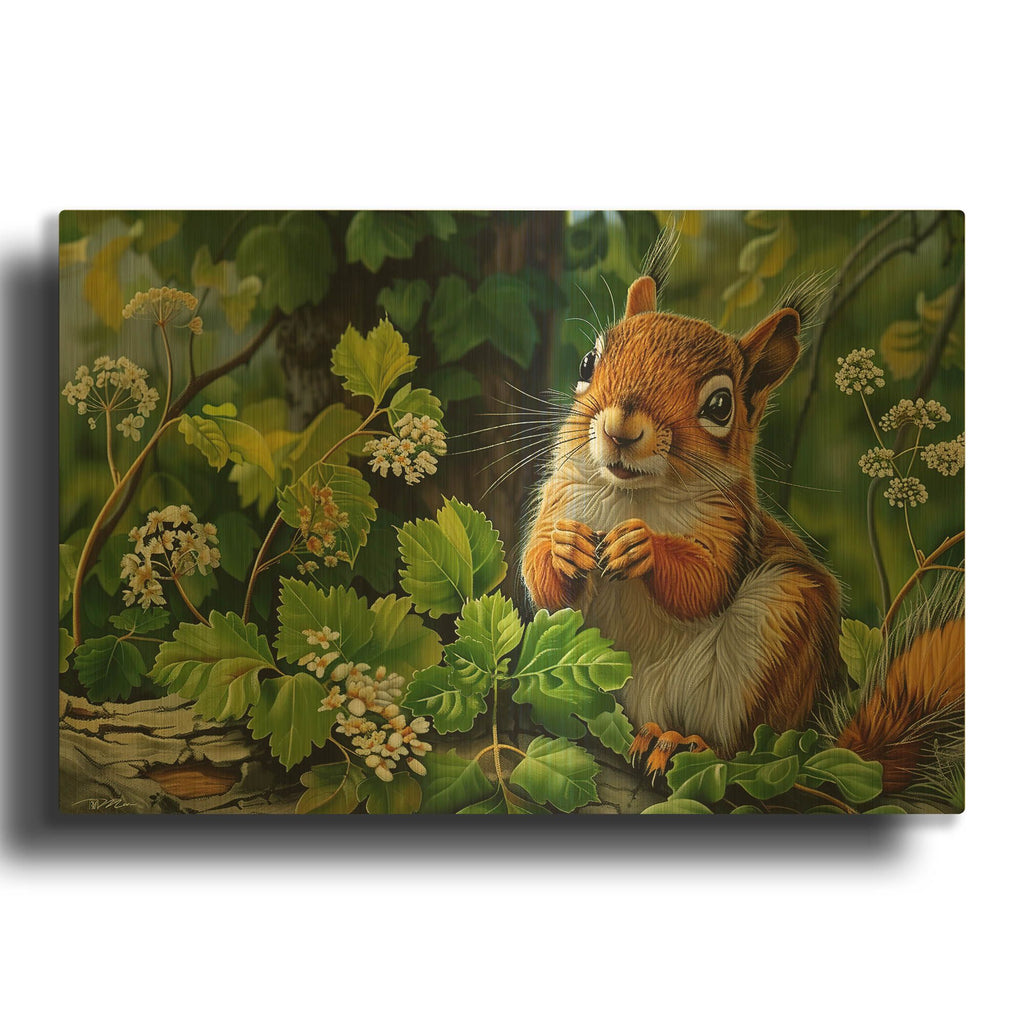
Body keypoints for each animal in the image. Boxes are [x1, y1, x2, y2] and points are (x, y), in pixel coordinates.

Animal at [521, 260, 963, 791]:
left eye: (720, 406)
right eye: (587, 364)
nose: (619, 430)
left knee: (737, 747)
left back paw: (680, 744)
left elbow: (705, 584)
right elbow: (542, 586)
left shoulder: (730, 523)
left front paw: (645, 547)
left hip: (778, 625)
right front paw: (561, 549)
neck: (636, 495)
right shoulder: (560, 495)